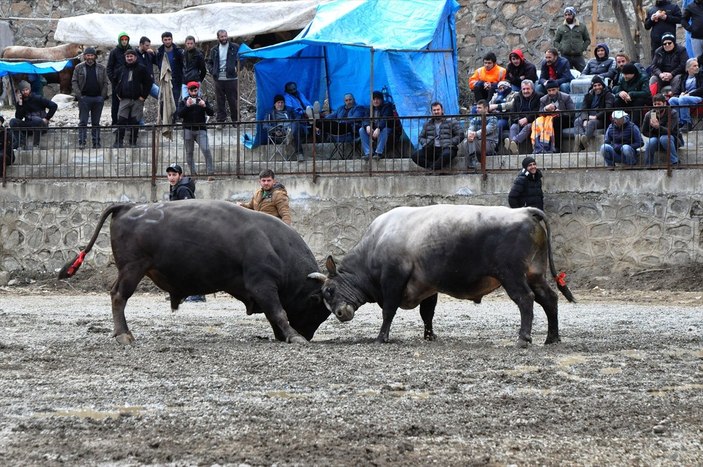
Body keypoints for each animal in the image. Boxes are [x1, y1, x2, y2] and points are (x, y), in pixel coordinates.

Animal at [58, 201, 330, 344]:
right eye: (318, 308)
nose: (308, 335)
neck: (275, 245)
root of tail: (129, 207)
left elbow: (274, 314)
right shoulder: (262, 285)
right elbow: (278, 312)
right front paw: (294, 337)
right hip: (132, 269)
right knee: (118, 296)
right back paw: (124, 335)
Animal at [310, 205, 576, 348]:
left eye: (329, 291)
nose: (340, 314)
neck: (377, 242)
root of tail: (524, 211)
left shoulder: (393, 281)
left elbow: (388, 311)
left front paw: (381, 337)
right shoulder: (427, 286)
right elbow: (427, 313)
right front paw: (429, 336)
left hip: (512, 275)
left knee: (525, 299)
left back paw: (523, 338)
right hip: (535, 273)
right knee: (549, 299)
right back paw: (552, 337)